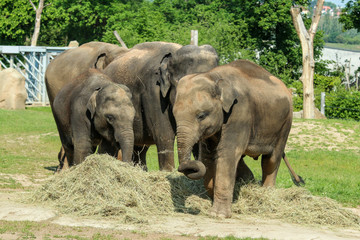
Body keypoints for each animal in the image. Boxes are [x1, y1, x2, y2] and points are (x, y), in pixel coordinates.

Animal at [173, 59, 302, 218]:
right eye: (174, 115)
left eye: (201, 115)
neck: (213, 76)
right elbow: (209, 157)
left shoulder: (239, 112)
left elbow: (227, 154)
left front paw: (218, 215)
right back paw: (250, 184)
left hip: (286, 123)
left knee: (271, 159)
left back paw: (266, 195)